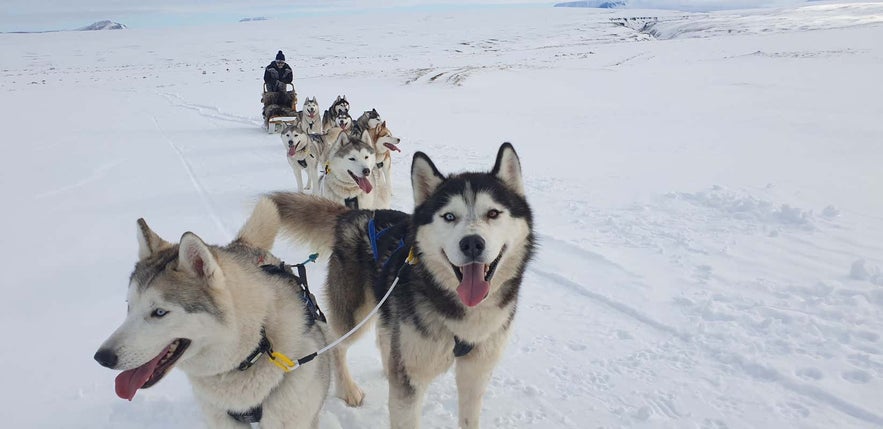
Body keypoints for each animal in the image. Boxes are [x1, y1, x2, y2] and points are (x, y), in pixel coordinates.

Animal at [268, 142, 532, 426]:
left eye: (493, 213)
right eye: (449, 216)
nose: (472, 243)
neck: (461, 313)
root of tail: (357, 214)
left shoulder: (476, 373)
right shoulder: (411, 381)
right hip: (356, 315)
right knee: (338, 346)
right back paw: (348, 389)